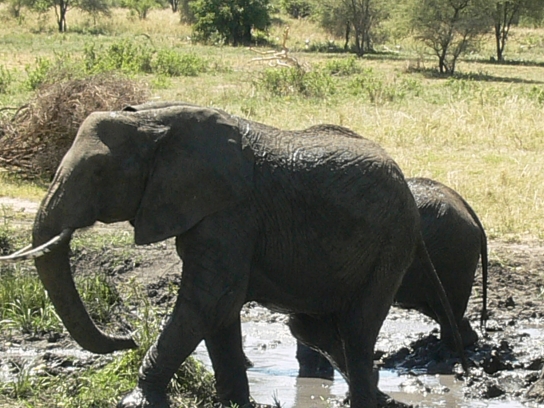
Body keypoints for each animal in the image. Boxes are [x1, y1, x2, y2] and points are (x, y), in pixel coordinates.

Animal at [0, 102, 465, 408]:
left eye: (99, 172)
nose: (127, 337)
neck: (153, 121)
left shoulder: (230, 213)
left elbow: (210, 301)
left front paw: (137, 400)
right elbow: (219, 311)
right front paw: (235, 404)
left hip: (392, 239)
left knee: (357, 325)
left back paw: (368, 400)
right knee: (312, 326)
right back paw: (378, 394)